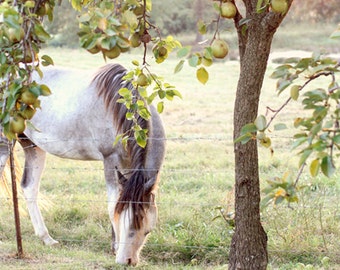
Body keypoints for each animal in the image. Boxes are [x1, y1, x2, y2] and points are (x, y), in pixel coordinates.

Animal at [0, 63, 166, 266]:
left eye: (147, 229)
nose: (126, 260)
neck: (121, 110)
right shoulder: (110, 160)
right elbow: (113, 204)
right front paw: (115, 247)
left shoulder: (127, 169)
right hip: (5, 141)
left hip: (33, 146)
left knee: (29, 187)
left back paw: (46, 238)